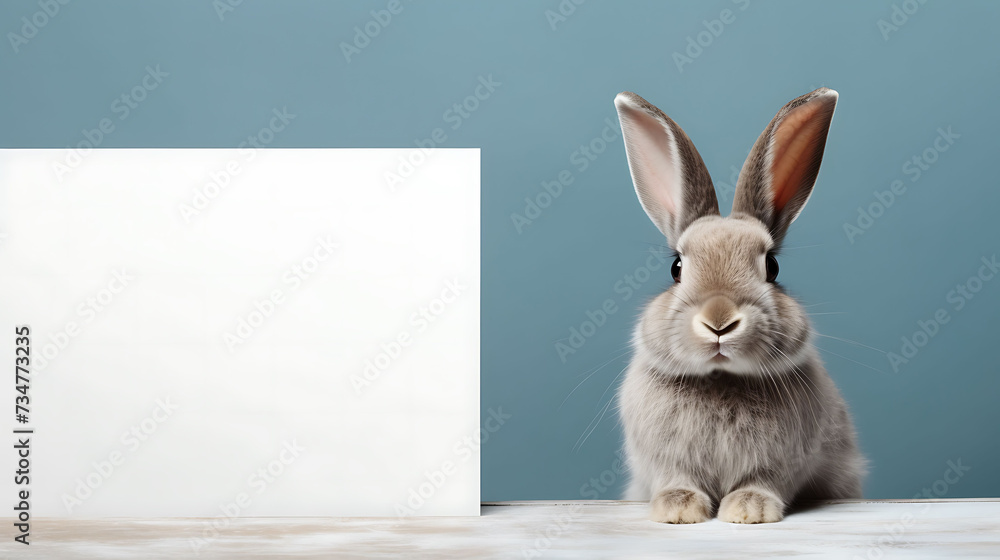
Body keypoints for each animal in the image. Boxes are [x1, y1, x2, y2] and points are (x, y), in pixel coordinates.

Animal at [613, 87, 865, 524]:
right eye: (676, 267)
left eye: (772, 267)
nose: (719, 321)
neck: (720, 379)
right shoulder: (664, 461)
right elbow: (676, 478)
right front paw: (678, 509)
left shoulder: (783, 463)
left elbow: (763, 480)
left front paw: (749, 510)